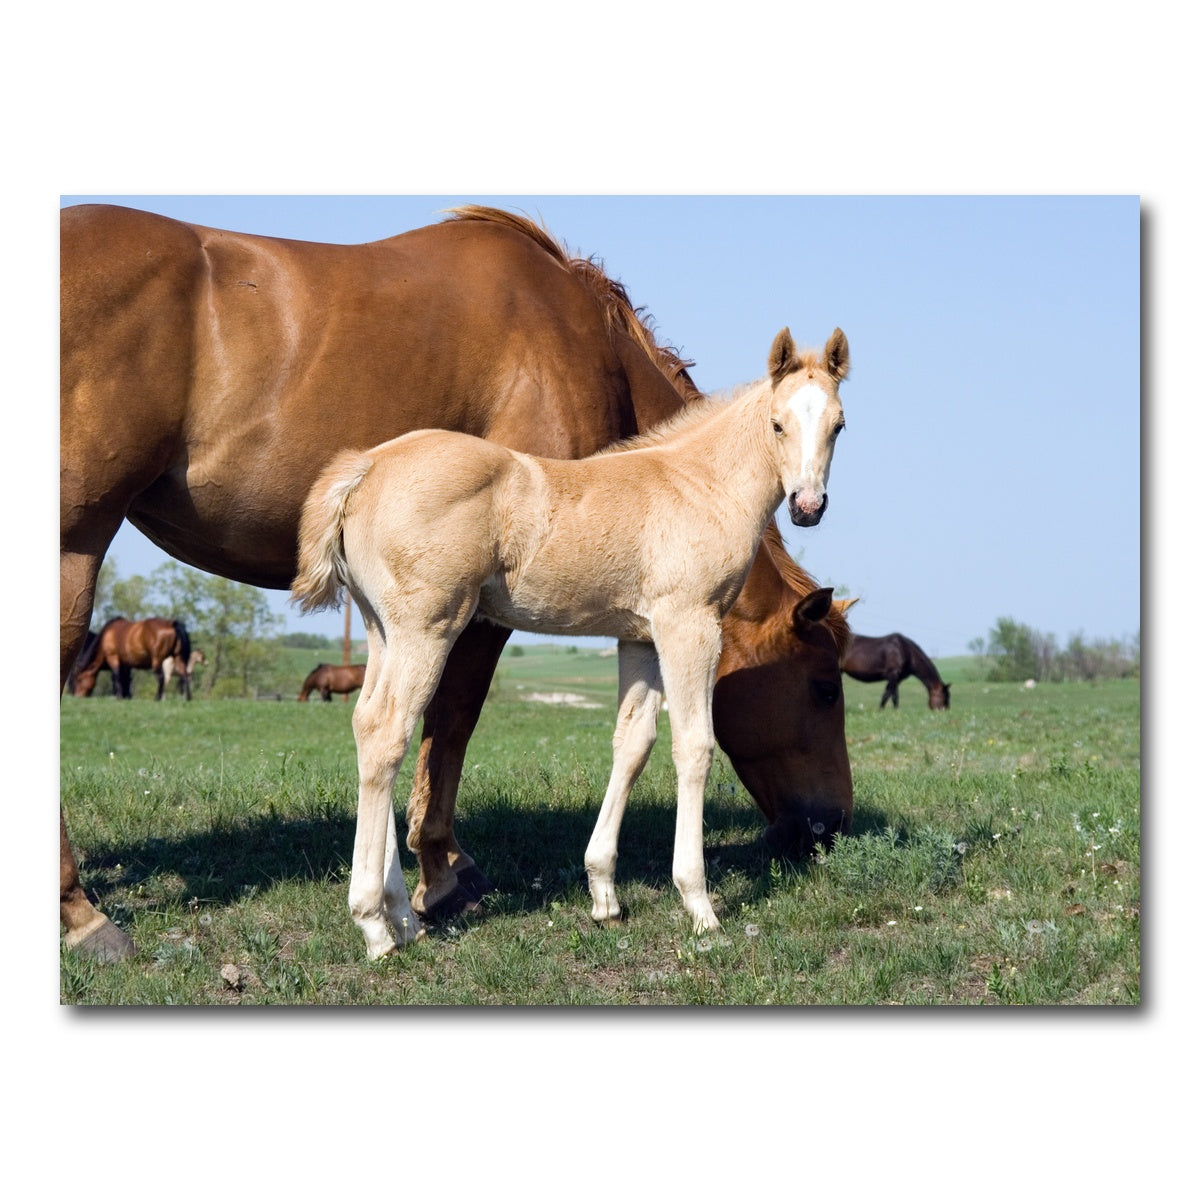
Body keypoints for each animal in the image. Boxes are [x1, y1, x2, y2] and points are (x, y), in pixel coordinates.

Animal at [292, 326, 849, 957]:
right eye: (777, 424)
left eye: (839, 424)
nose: (808, 506)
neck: (699, 486)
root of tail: (365, 465)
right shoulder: (688, 624)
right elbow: (694, 746)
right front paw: (699, 904)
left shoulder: (639, 638)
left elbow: (633, 743)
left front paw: (604, 894)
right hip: (426, 628)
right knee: (388, 732)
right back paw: (374, 926)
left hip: (381, 629)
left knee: (367, 724)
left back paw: (403, 919)